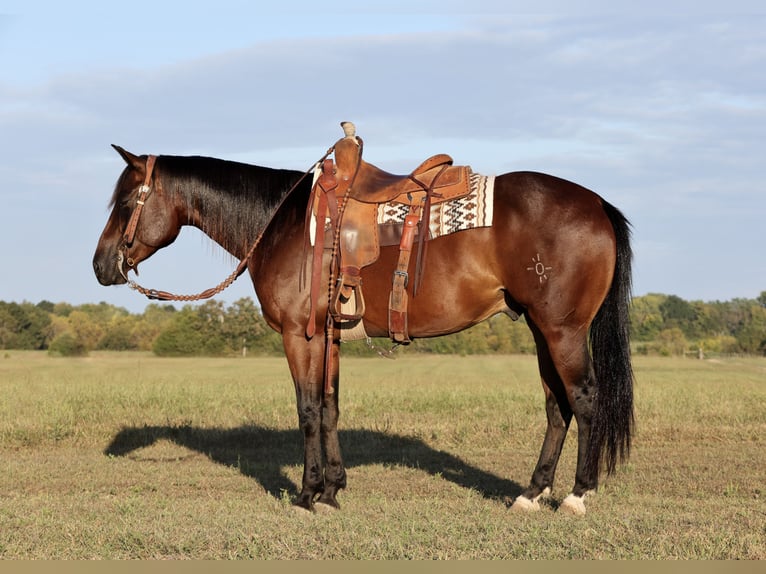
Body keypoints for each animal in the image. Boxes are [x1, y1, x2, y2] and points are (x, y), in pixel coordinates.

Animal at [93, 135, 636, 516]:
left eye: (126, 203)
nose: (101, 266)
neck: (284, 223)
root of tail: (596, 204)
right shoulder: (330, 335)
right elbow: (331, 407)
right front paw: (333, 489)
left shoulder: (301, 335)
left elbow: (308, 409)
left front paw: (307, 495)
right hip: (542, 331)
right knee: (556, 406)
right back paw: (531, 492)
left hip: (562, 330)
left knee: (584, 398)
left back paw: (576, 495)